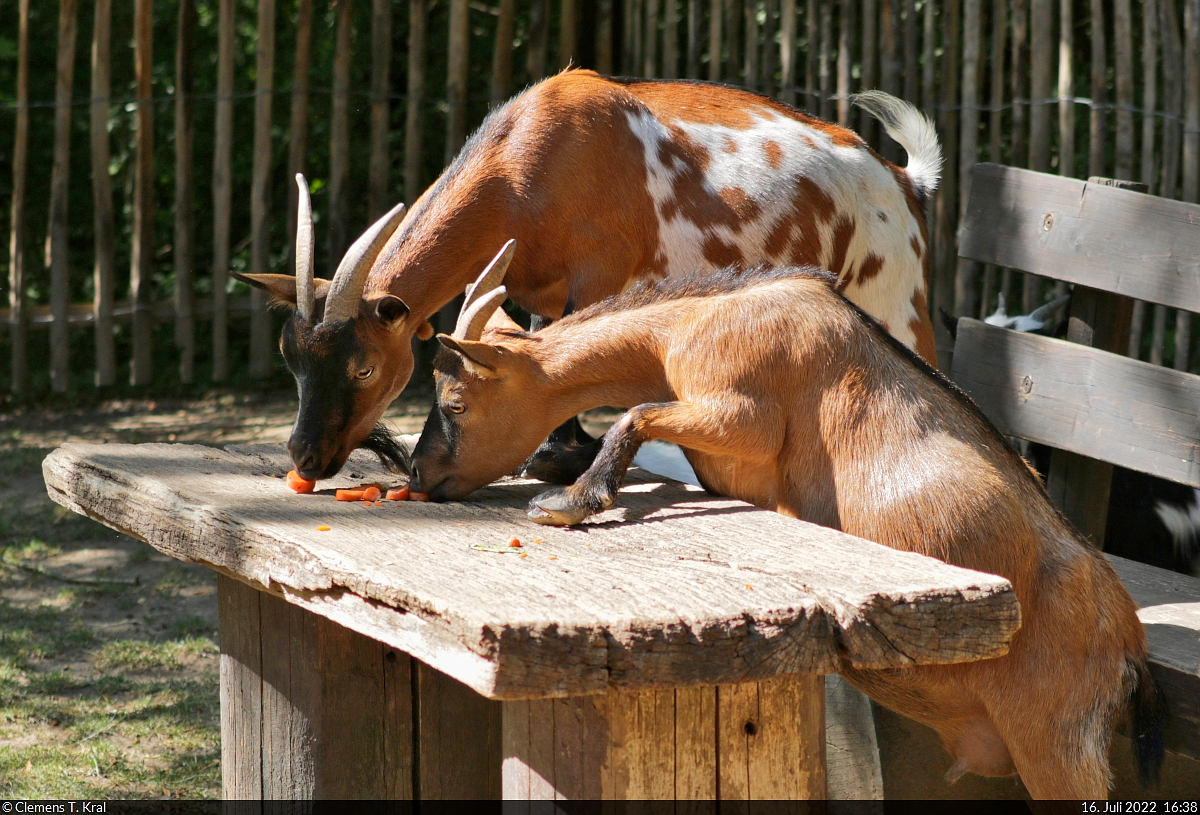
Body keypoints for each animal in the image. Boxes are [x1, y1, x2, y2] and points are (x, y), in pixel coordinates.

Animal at [238, 73, 940, 482]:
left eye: (364, 368)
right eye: (291, 360)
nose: (305, 458)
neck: (531, 162)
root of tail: (902, 179)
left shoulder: (598, 279)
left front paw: (561, 459)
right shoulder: (536, 292)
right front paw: (554, 454)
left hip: (900, 303)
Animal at [410, 259, 1161, 796]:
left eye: (456, 401)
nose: (418, 476)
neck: (691, 322)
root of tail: (1127, 636)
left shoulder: (742, 414)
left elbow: (638, 413)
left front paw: (569, 501)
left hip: (1058, 743)